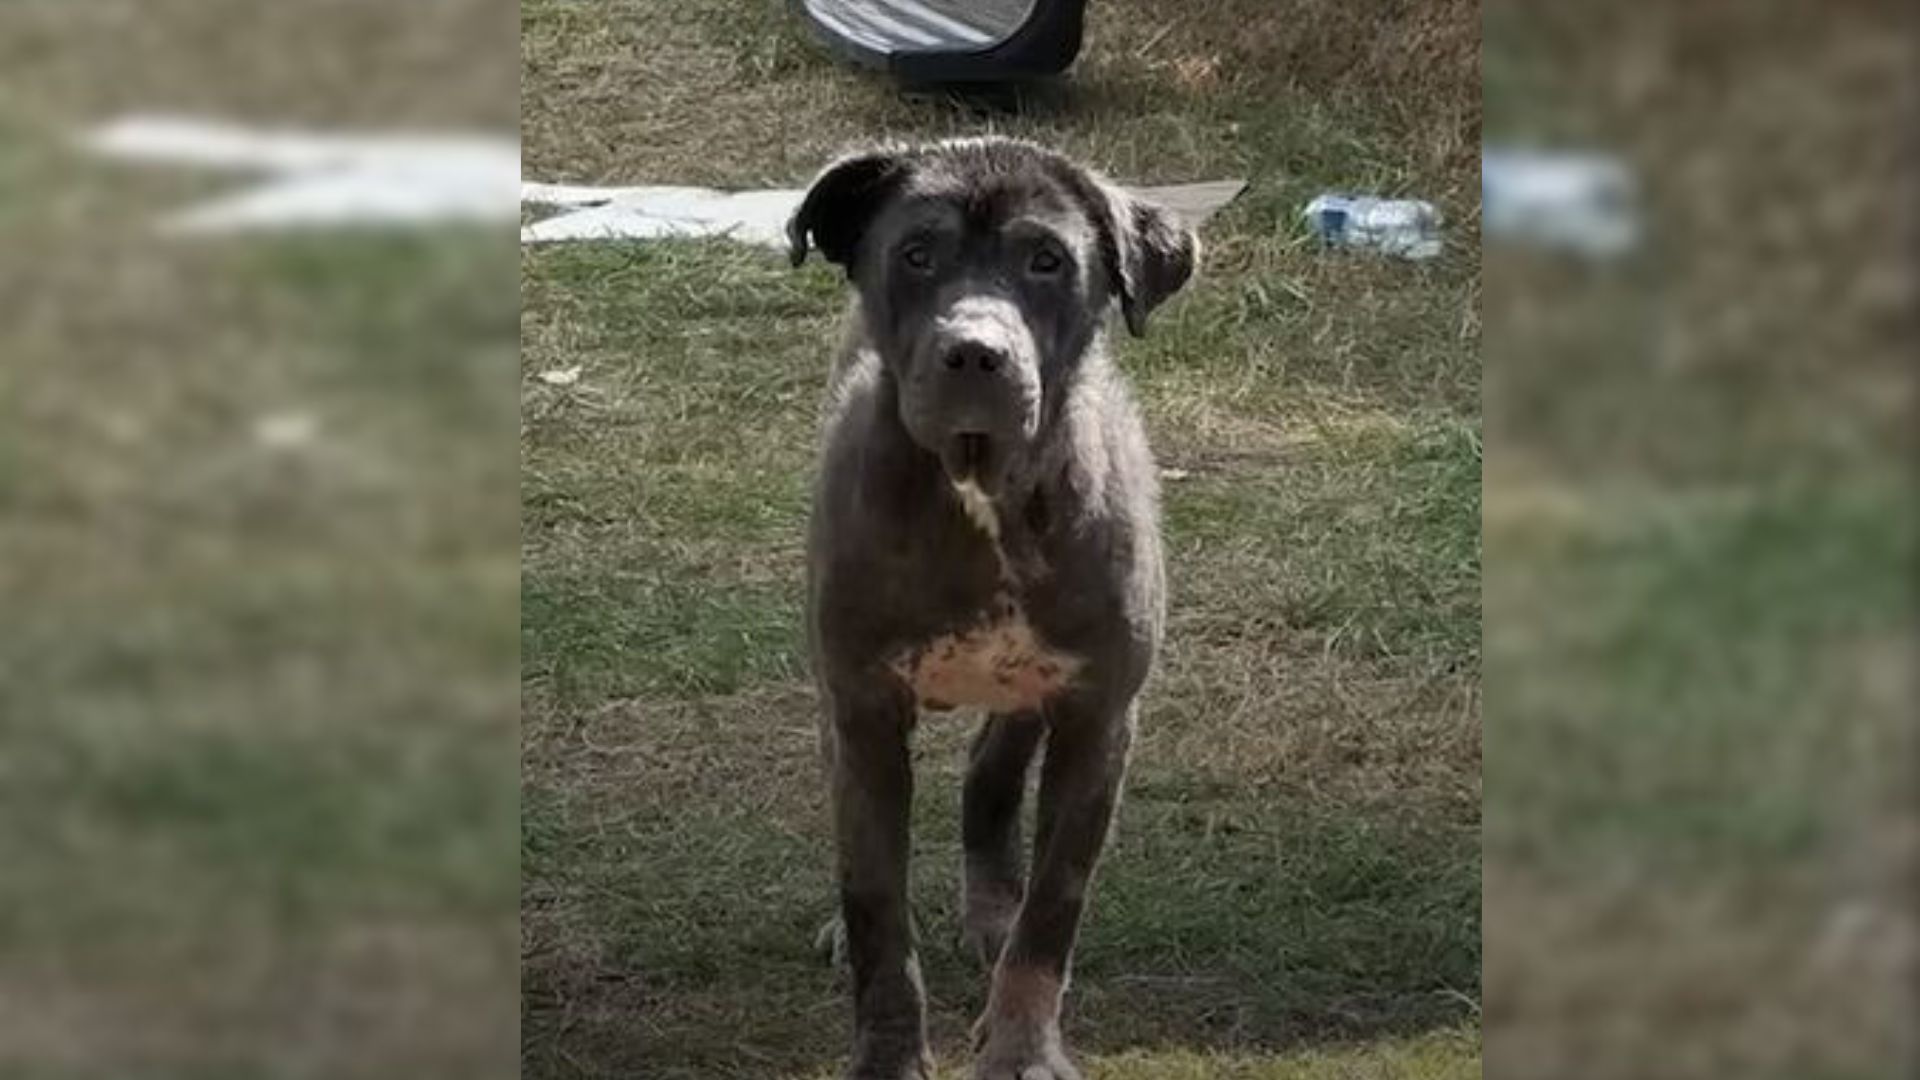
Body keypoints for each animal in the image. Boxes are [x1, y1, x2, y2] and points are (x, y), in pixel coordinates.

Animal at [787, 138, 1190, 1076]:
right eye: (916, 254)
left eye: (1047, 260)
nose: (975, 351)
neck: (977, 496)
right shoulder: (862, 706)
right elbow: (876, 906)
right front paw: (887, 1057)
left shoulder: (1097, 717)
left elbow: (1053, 911)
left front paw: (1021, 1049)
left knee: (991, 772)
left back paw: (992, 911)